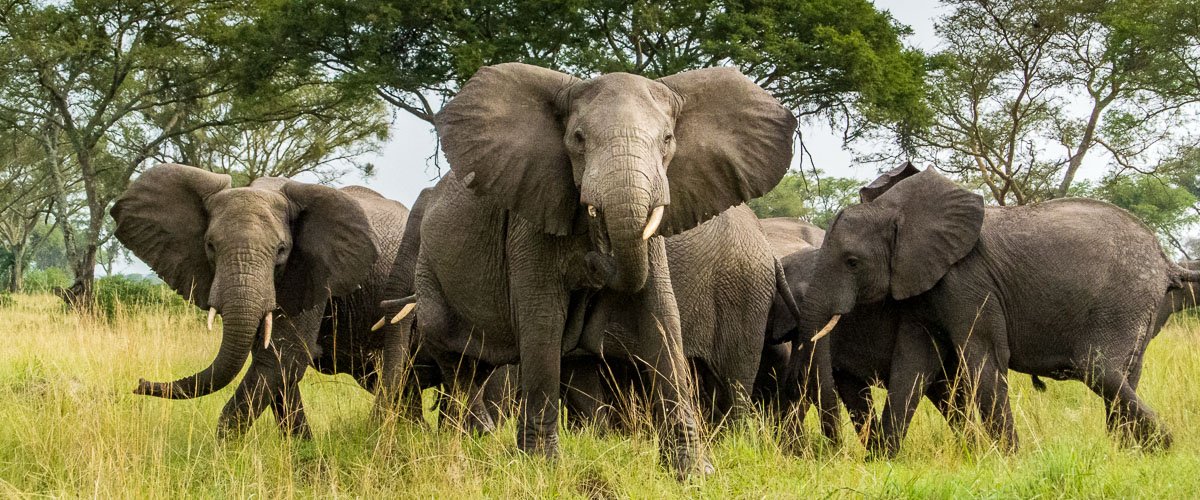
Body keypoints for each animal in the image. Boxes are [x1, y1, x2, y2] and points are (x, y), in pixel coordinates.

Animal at [111, 163, 409, 437]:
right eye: (210, 246)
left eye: (281, 250)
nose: (139, 383)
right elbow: (277, 368)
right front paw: (302, 452)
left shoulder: (313, 273)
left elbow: (281, 359)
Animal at [406, 63, 797, 477]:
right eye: (578, 138)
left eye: (668, 139)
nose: (594, 263)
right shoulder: (531, 219)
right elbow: (543, 320)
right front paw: (543, 469)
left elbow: (661, 315)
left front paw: (693, 473)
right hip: (430, 272)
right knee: (457, 359)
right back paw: (467, 444)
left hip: (745, 292)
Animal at [791, 162, 1200, 457]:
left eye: (852, 262)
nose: (836, 453)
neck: (897, 210)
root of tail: (1165, 260)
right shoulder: (925, 285)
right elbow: (913, 364)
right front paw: (883, 460)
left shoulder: (967, 279)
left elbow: (983, 357)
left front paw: (1010, 460)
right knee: (1123, 374)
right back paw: (1130, 451)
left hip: (1124, 299)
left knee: (1098, 369)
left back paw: (1161, 447)